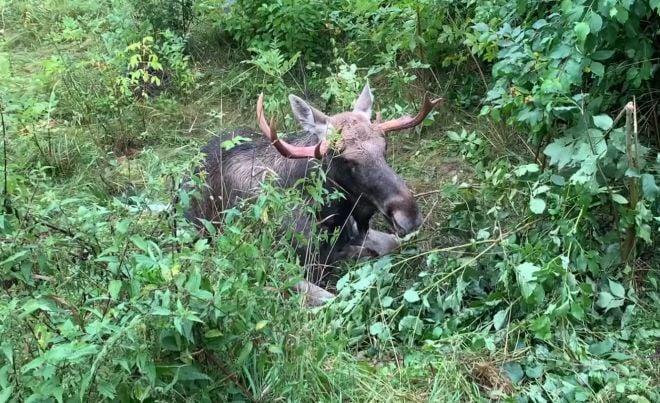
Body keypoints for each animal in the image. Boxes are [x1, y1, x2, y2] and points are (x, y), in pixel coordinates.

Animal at [183, 84, 440, 306]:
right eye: (345, 160)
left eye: (384, 148)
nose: (408, 215)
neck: (327, 216)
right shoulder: (277, 262)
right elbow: (332, 297)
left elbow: (393, 243)